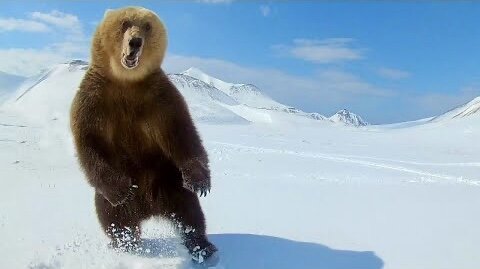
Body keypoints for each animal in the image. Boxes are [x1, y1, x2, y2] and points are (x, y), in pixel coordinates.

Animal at [69, 5, 218, 264]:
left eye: (147, 26)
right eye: (125, 23)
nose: (135, 42)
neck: (127, 82)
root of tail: (150, 208)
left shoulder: (160, 97)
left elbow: (182, 134)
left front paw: (200, 181)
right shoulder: (94, 98)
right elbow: (90, 140)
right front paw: (121, 191)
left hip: (167, 178)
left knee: (189, 211)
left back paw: (201, 247)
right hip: (122, 189)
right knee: (114, 216)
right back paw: (126, 243)